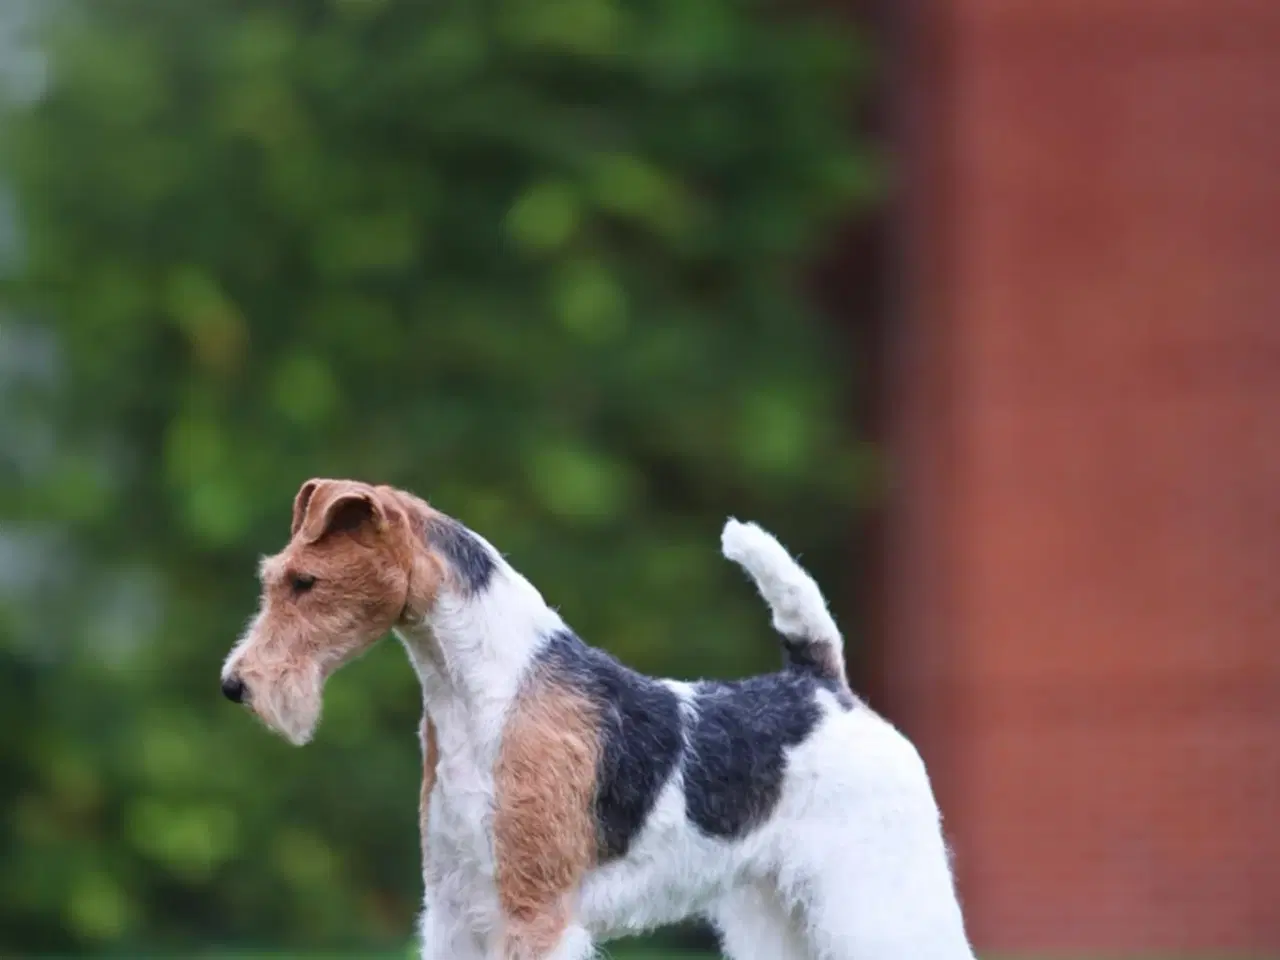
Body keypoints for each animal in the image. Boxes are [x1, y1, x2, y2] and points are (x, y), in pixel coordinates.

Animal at [222, 481, 977, 960]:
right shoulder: (455, 904)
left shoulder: (533, 910)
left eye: (305, 582)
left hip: (876, 889)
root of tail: (823, 684)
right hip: (775, 902)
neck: (489, 689)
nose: (235, 685)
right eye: (276, 575)